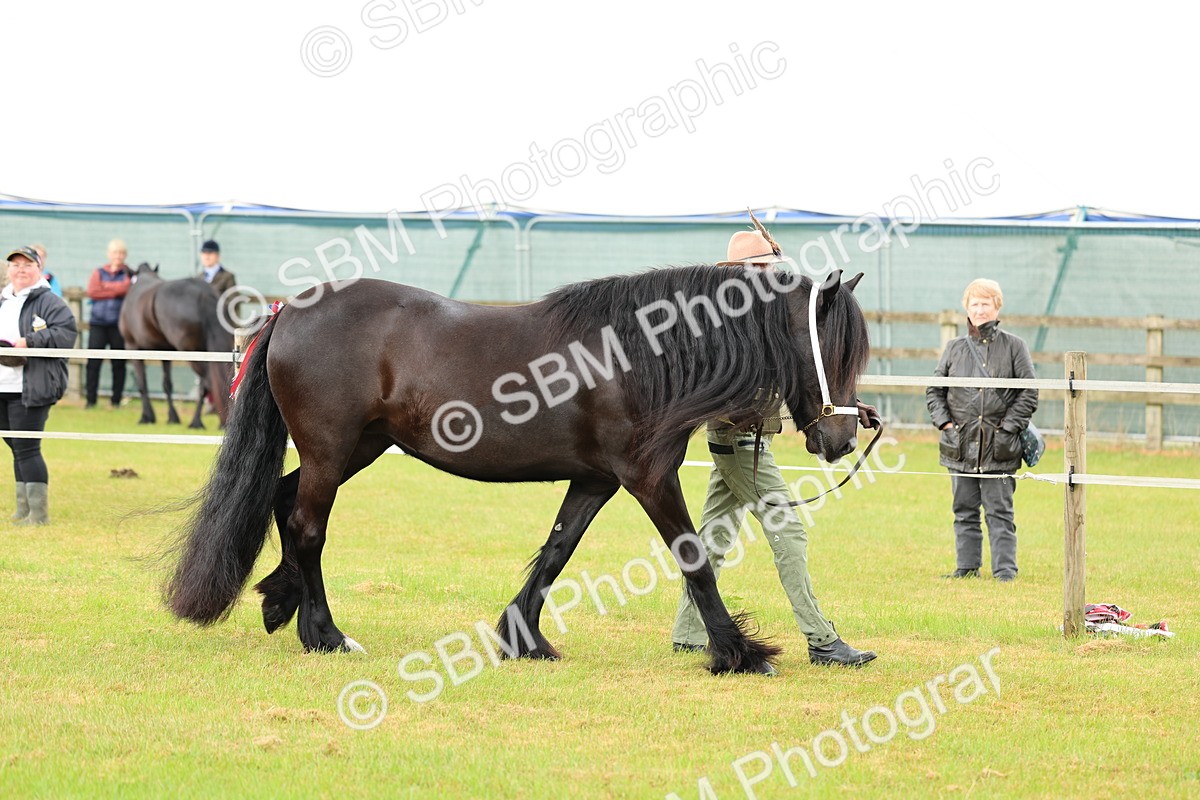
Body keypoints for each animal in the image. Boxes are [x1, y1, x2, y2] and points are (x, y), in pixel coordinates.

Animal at [118, 263, 233, 428]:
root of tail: (203, 292)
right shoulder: (165, 352)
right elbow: (167, 385)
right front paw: (173, 417)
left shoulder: (132, 347)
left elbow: (142, 384)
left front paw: (146, 417)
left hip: (192, 353)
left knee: (207, 382)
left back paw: (197, 421)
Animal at [165, 265, 870, 675]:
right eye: (830, 352)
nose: (841, 438)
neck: (638, 355)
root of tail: (291, 310)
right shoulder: (647, 477)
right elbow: (693, 557)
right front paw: (740, 653)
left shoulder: (597, 479)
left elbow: (557, 551)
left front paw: (524, 639)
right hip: (331, 451)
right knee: (308, 526)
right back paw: (326, 635)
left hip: (352, 450)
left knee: (285, 504)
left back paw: (279, 604)